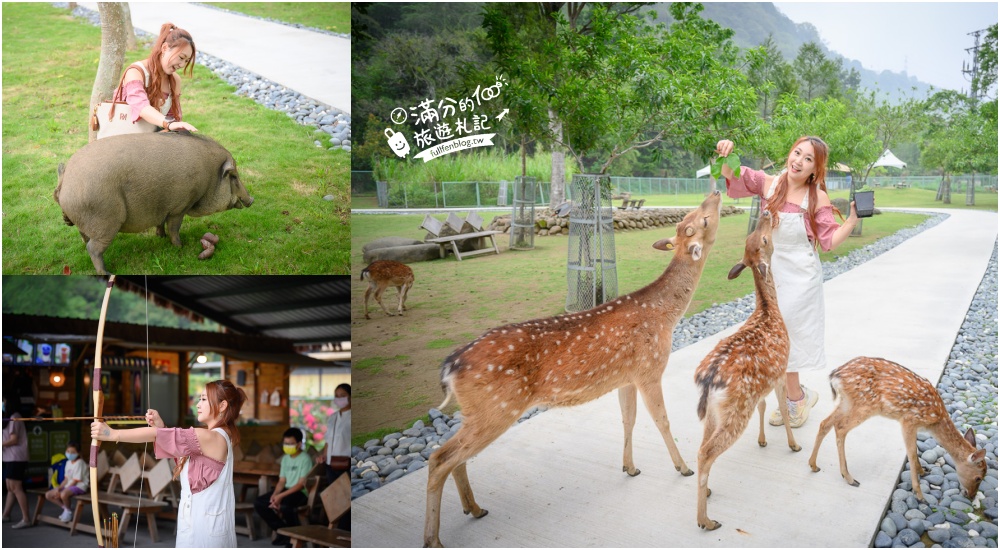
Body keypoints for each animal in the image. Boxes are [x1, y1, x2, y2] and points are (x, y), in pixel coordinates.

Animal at [54, 132, 254, 274]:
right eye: (233, 176)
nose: (251, 199)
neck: (210, 175)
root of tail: (65, 178)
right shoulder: (179, 207)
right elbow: (174, 228)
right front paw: (180, 247)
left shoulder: (163, 208)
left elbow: (161, 224)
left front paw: (161, 237)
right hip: (106, 221)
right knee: (93, 249)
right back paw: (107, 272)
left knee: (84, 238)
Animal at [418, 191, 724, 548]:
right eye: (702, 219)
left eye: (691, 217)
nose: (716, 193)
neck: (666, 317)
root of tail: (451, 365)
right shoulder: (650, 367)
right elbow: (662, 420)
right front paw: (683, 468)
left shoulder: (627, 376)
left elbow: (628, 420)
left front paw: (630, 467)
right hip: (495, 408)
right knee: (440, 457)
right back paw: (434, 538)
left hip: (478, 411)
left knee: (454, 456)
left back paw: (475, 508)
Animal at [692, 213, 800, 532]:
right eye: (763, 239)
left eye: (753, 238)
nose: (765, 214)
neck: (768, 311)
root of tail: (709, 378)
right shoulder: (780, 370)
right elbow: (782, 408)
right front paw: (794, 445)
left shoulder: (761, 384)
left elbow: (764, 406)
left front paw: (762, 440)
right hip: (737, 408)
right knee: (706, 452)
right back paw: (706, 520)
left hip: (715, 411)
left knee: (702, 446)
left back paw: (708, 492)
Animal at [808, 358, 988, 504]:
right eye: (978, 477)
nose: (971, 496)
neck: (935, 422)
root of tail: (835, 376)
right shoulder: (909, 420)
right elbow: (912, 453)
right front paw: (920, 495)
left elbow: (915, 451)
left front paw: (924, 471)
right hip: (865, 405)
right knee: (840, 428)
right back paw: (849, 477)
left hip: (847, 402)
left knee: (825, 423)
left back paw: (814, 465)